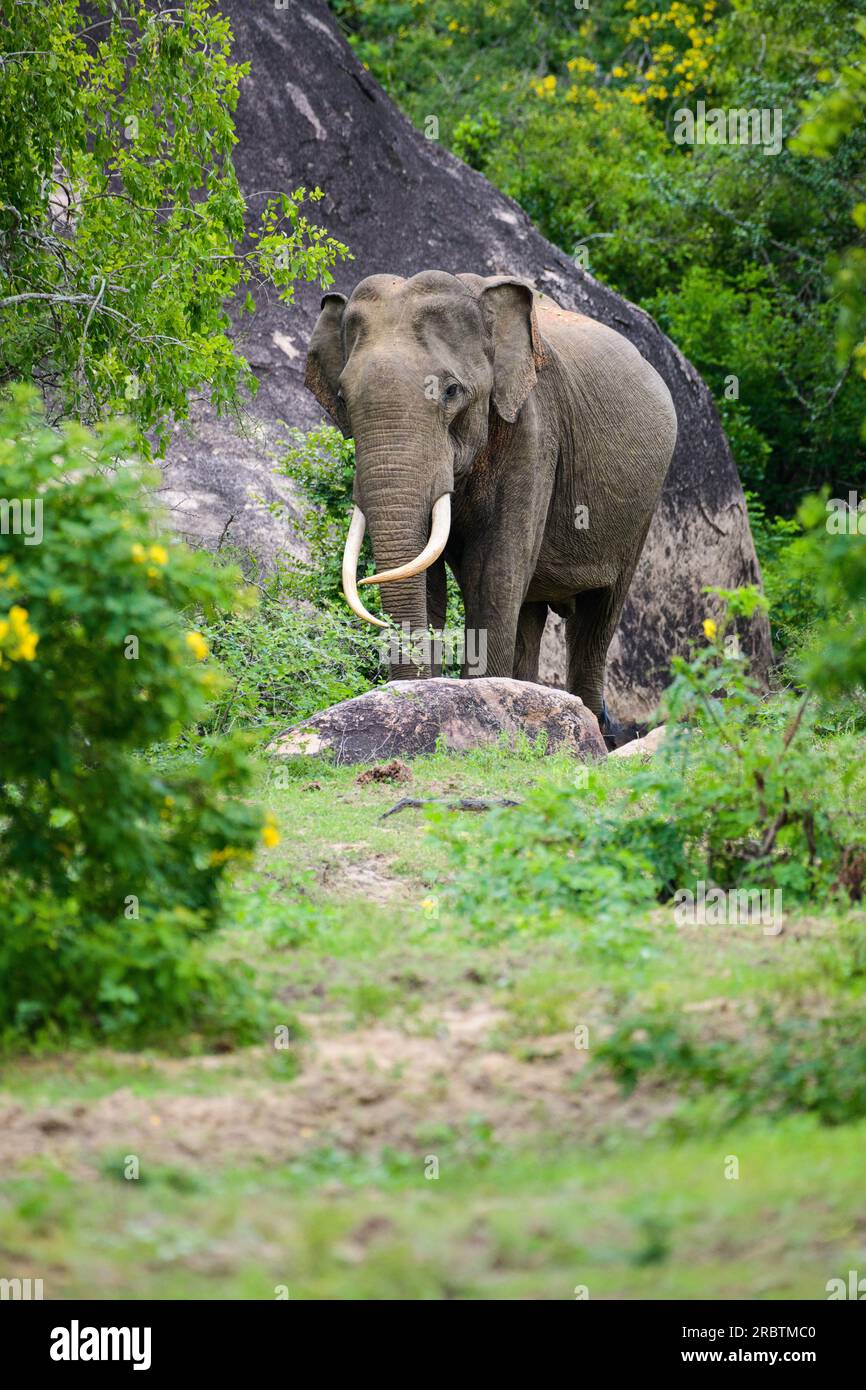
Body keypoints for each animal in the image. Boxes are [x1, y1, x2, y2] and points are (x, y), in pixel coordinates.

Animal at [304, 273, 678, 750]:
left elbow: (494, 570)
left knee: (598, 615)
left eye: (451, 391)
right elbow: (429, 575)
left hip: (643, 506)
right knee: (532, 612)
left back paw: (598, 733)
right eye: (342, 396)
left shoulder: (534, 430)